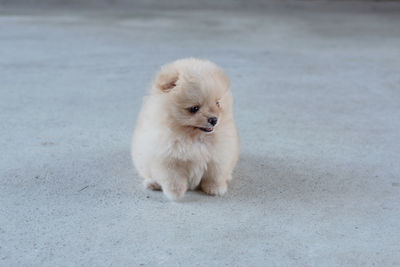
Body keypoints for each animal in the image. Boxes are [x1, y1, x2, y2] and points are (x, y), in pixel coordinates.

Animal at [131, 58, 239, 201]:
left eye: (217, 103)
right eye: (194, 109)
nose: (214, 120)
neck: (194, 137)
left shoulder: (219, 156)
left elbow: (215, 175)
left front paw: (215, 189)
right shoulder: (168, 159)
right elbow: (173, 179)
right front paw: (175, 193)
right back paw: (152, 183)